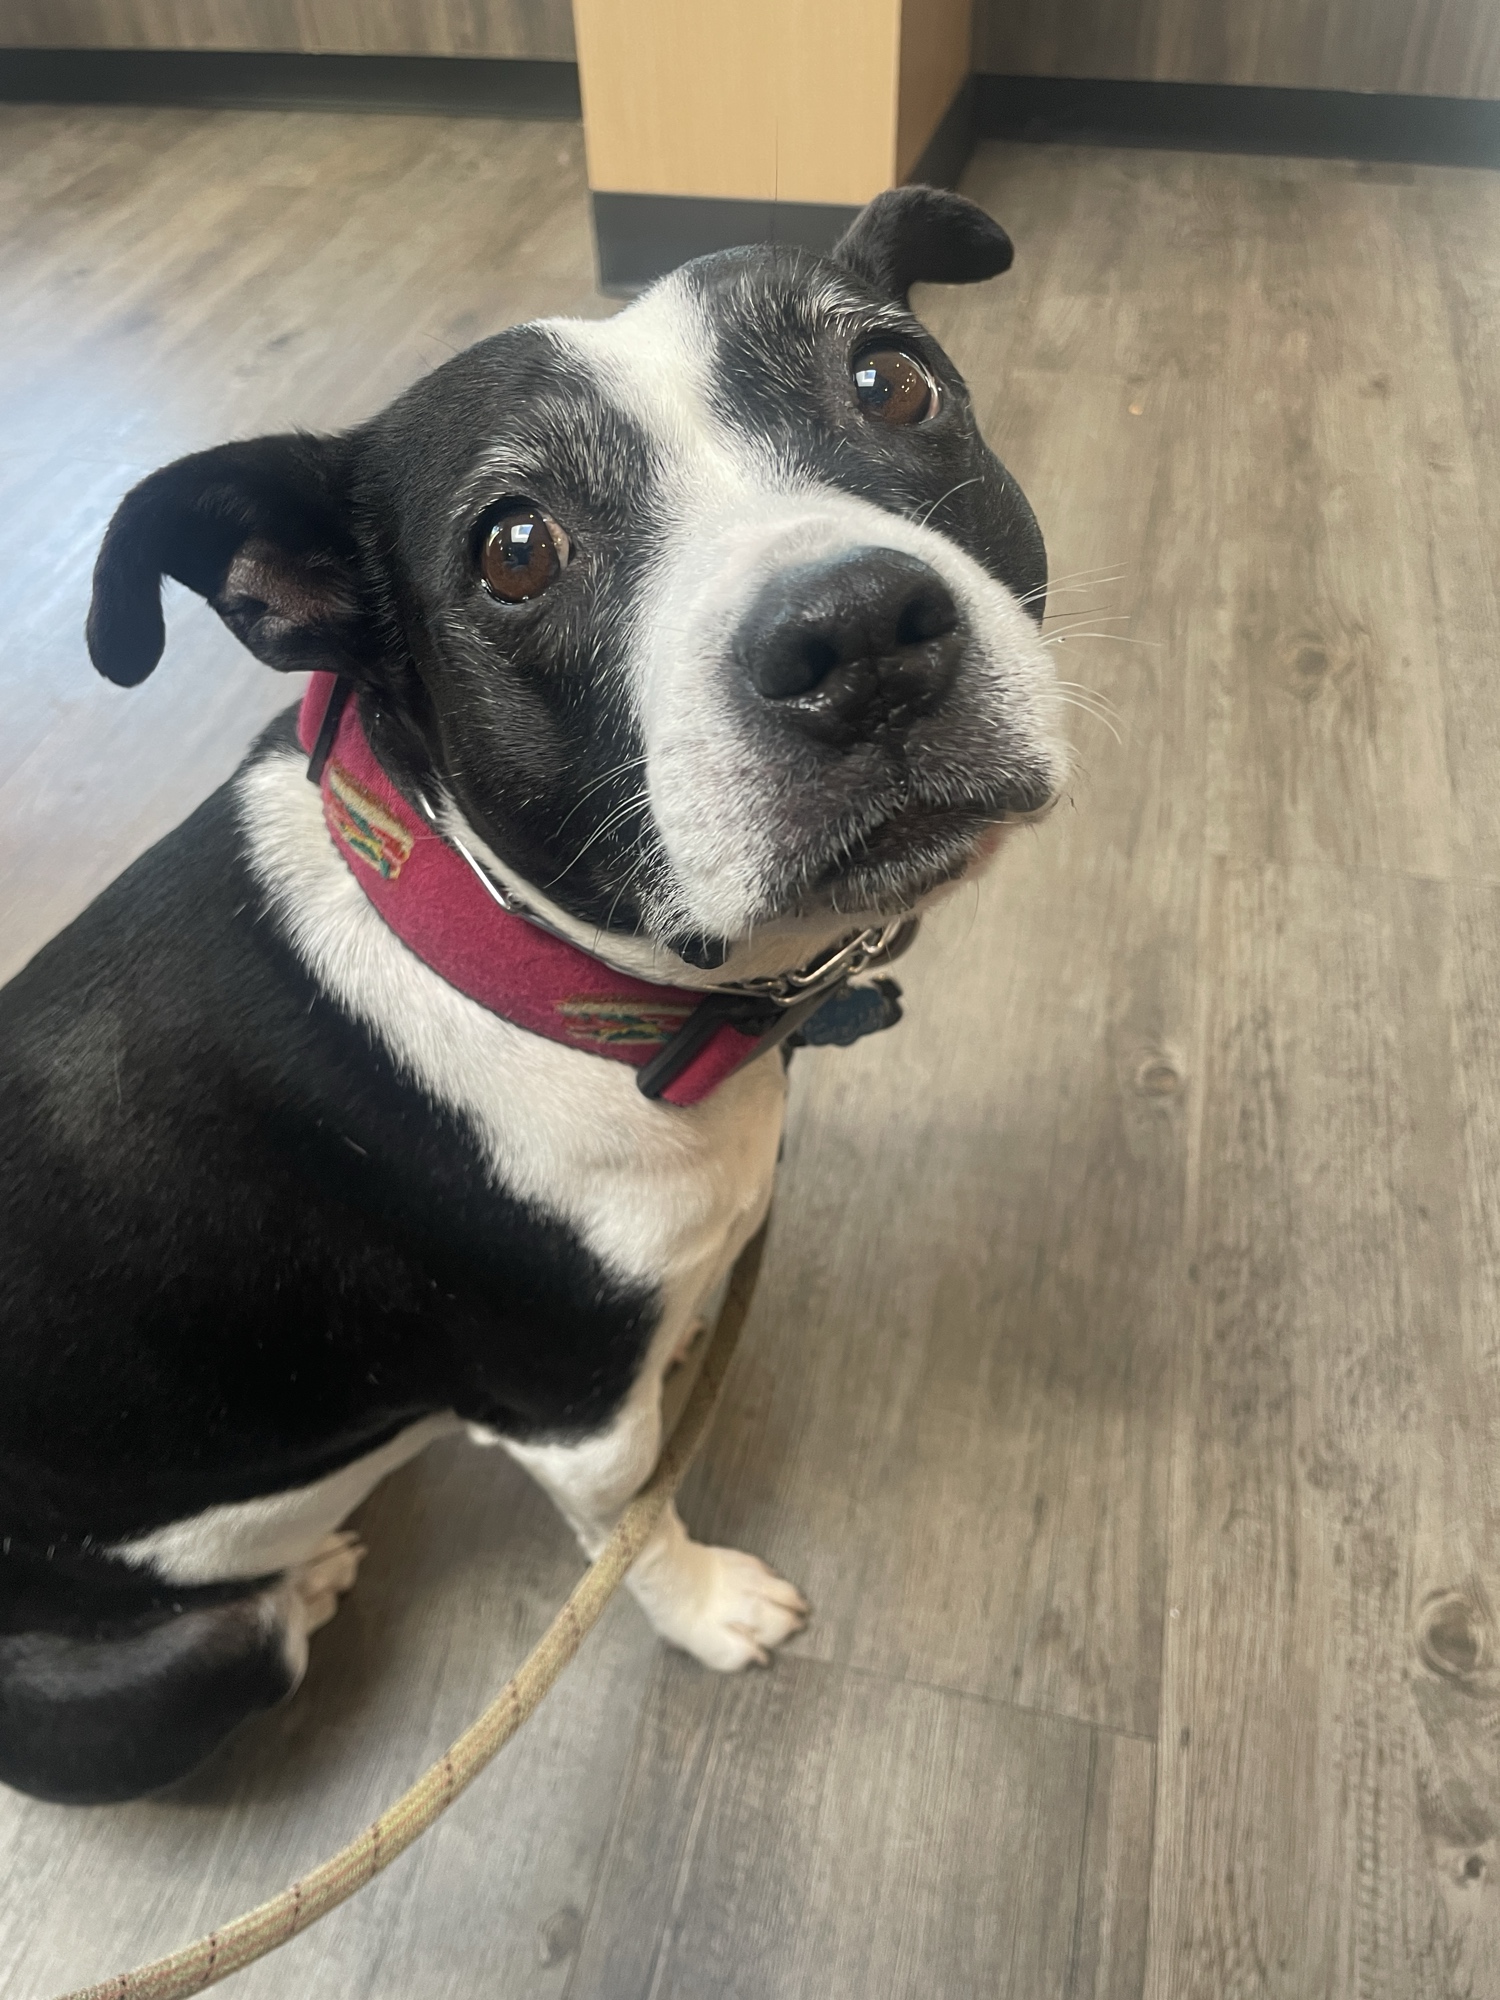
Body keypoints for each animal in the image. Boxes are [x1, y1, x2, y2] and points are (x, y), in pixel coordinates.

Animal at [0, 187, 1063, 1804]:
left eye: (892, 381)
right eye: (513, 548)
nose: (856, 630)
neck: (519, 965)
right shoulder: (574, 1420)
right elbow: (633, 1534)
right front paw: (708, 1606)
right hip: (185, 1664)